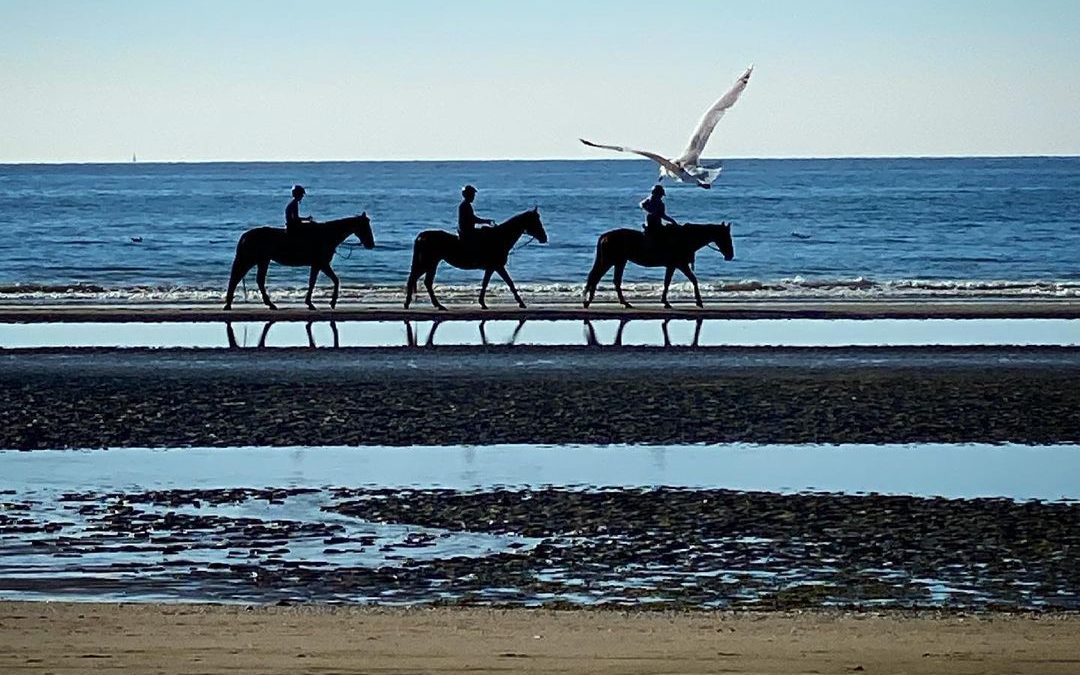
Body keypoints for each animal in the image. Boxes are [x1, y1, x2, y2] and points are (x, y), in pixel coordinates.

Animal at [223, 213, 374, 311]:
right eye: (365, 226)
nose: (371, 244)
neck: (327, 235)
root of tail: (246, 235)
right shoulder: (322, 264)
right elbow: (334, 280)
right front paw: (330, 303)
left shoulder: (317, 265)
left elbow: (315, 282)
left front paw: (310, 303)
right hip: (253, 260)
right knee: (238, 278)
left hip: (261, 260)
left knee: (253, 279)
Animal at [404, 208, 548, 310]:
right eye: (536, 221)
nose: (544, 238)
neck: (500, 238)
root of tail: (422, 236)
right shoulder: (498, 267)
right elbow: (510, 283)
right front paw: (521, 303)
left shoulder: (491, 268)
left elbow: (486, 283)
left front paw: (482, 303)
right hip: (429, 263)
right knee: (420, 280)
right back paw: (431, 305)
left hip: (429, 263)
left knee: (421, 281)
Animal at [582, 222, 734, 309]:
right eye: (726, 237)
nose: (730, 255)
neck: (685, 238)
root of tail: (605, 236)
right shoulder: (680, 264)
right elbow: (692, 280)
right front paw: (698, 301)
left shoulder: (673, 265)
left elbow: (668, 282)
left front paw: (665, 301)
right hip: (610, 260)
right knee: (596, 277)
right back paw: (589, 301)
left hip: (619, 261)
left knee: (612, 280)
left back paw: (621, 302)